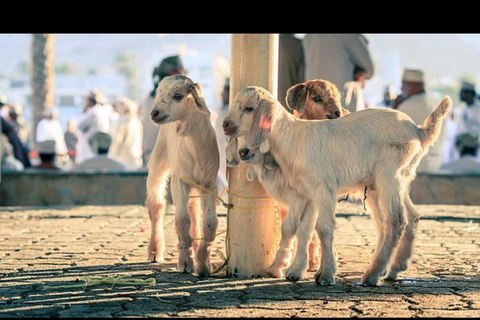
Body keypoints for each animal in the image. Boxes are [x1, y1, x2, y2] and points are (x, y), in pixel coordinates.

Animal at [146, 75, 219, 278]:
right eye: (158, 93)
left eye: (178, 96)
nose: (154, 113)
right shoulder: (180, 180)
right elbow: (181, 219)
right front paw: (186, 263)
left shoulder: (210, 183)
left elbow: (209, 222)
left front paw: (203, 265)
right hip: (158, 161)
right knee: (157, 206)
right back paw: (155, 251)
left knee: (194, 210)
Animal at [223, 86, 452, 286]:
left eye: (249, 108)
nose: (225, 125)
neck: (294, 139)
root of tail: (419, 131)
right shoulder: (306, 193)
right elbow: (301, 229)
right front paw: (295, 271)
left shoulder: (323, 188)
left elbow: (323, 228)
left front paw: (325, 275)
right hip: (398, 179)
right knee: (409, 217)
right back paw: (394, 269)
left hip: (390, 175)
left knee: (396, 220)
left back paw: (373, 274)